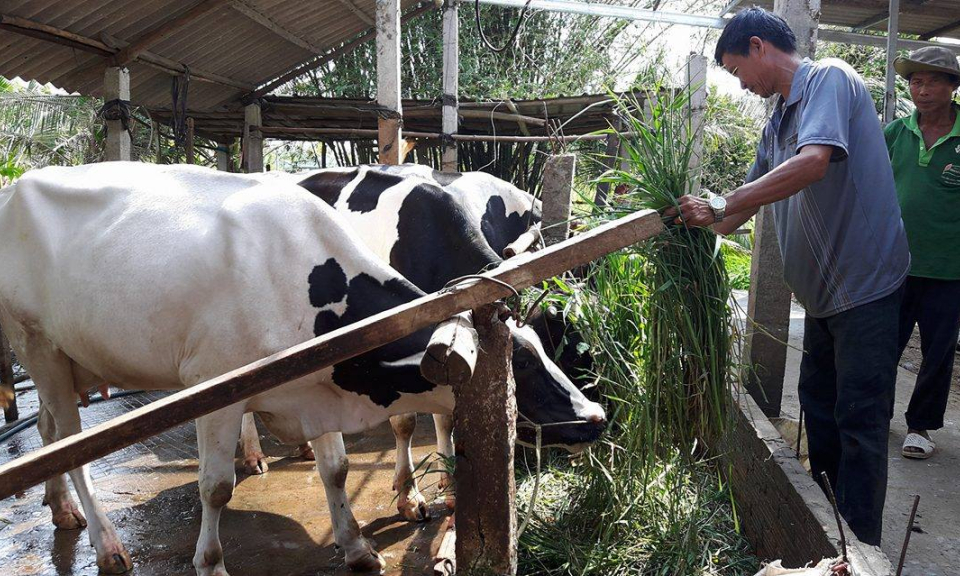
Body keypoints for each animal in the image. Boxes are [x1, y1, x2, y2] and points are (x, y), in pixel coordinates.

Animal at [0, 163, 600, 576]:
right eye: (521, 365)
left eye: (547, 347)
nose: (594, 416)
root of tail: (20, 182)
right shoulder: (214, 390)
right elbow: (215, 488)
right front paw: (211, 563)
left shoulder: (319, 383)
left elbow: (337, 468)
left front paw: (357, 545)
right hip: (37, 345)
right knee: (69, 443)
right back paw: (108, 545)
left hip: (64, 360)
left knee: (49, 428)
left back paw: (62, 509)